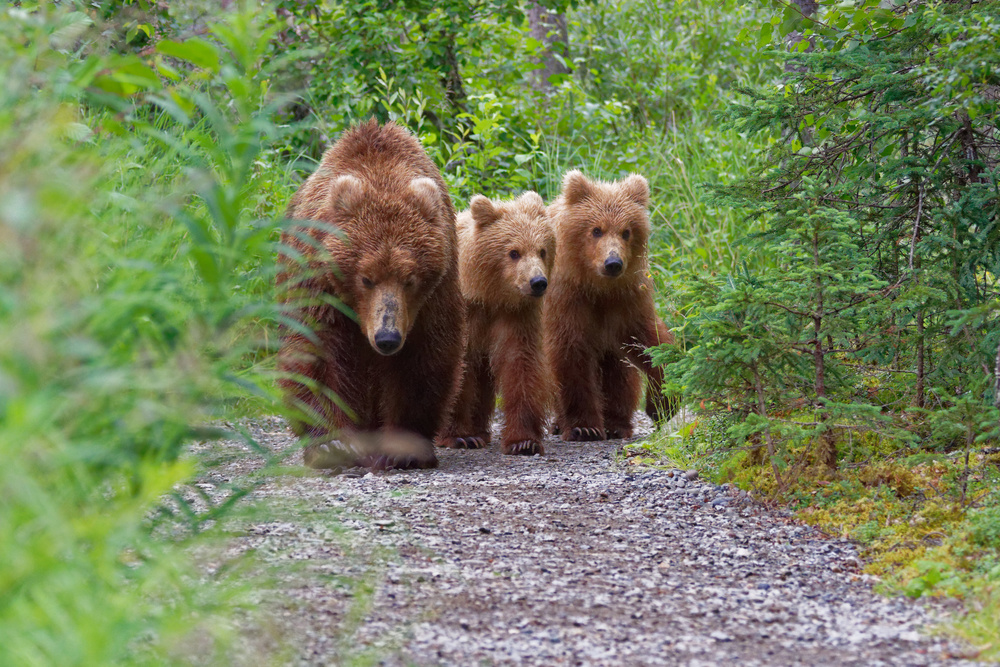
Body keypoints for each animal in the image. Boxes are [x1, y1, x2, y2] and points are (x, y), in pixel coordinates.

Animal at [278, 122, 464, 472]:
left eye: (409, 279)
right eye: (366, 278)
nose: (387, 338)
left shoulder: (434, 295)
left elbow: (425, 357)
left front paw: (402, 449)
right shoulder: (319, 285)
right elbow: (315, 352)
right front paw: (332, 444)